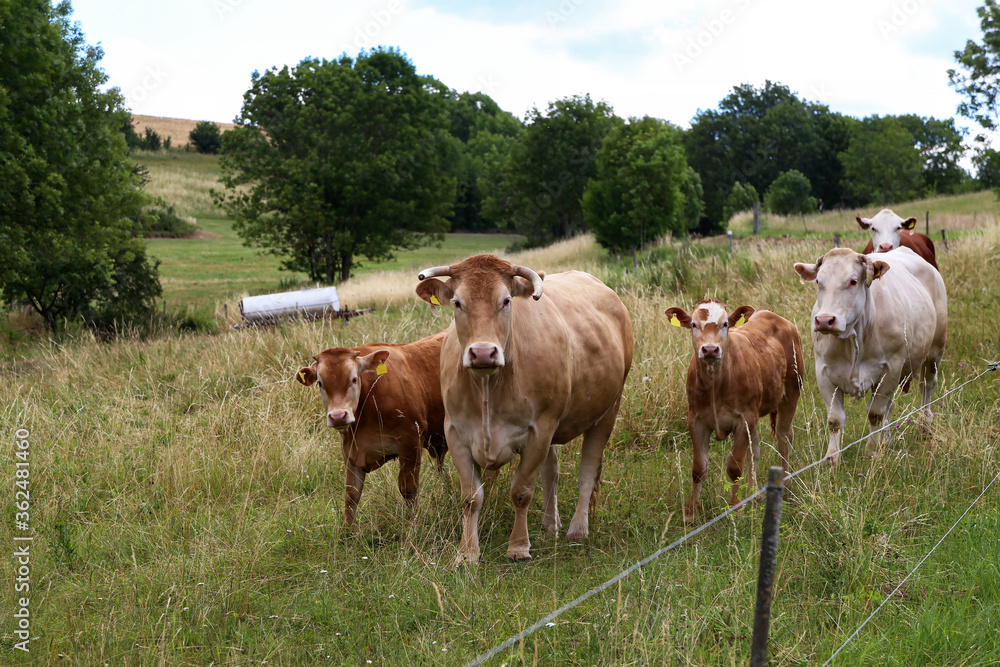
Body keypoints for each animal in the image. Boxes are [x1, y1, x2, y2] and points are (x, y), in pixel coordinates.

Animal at [416, 254, 632, 564]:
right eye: (457, 302)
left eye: (506, 300)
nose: (483, 352)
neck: (489, 387)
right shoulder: (455, 432)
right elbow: (471, 498)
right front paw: (467, 553)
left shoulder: (539, 430)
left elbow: (521, 491)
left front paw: (518, 546)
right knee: (551, 472)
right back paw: (550, 523)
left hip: (607, 411)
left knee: (587, 472)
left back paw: (578, 528)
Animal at [664, 300, 804, 524]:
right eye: (694, 324)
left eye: (725, 324)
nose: (710, 349)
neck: (716, 385)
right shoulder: (696, 419)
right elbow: (699, 468)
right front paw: (691, 512)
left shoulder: (743, 419)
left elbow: (734, 466)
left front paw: (735, 508)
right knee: (755, 448)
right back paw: (752, 494)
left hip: (791, 391)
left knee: (784, 438)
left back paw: (785, 483)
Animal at [796, 247, 944, 464]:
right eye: (818, 281)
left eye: (853, 281)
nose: (824, 320)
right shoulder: (823, 372)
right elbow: (834, 419)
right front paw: (832, 458)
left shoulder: (890, 367)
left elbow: (875, 413)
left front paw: (872, 451)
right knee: (889, 406)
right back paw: (887, 440)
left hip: (934, 351)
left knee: (926, 386)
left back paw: (924, 425)